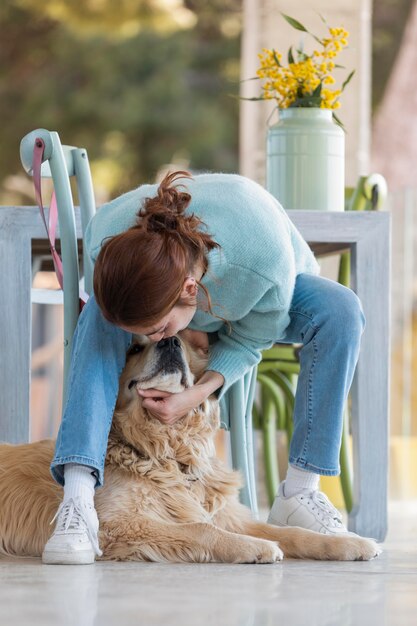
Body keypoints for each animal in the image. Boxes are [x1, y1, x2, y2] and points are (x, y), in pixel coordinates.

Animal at [0, 334, 380, 564]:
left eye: (180, 340)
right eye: (134, 348)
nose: (170, 342)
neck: (169, 451)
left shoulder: (228, 515)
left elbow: (291, 532)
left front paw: (350, 543)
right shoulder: (121, 524)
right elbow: (202, 529)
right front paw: (253, 548)